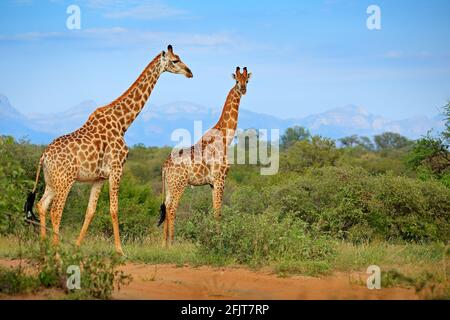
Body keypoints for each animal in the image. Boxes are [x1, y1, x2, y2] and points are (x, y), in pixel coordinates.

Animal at [24, 45, 193, 255]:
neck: (122, 123)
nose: (190, 72)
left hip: (51, 181)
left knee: (41, 205)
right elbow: (114, 209)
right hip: (65, 180)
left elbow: (90, 211)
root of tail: (43, 156)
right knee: (56, 210)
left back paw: (44, 247)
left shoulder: (99, 178)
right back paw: (56, 250)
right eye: (175, 60)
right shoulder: (116, 168)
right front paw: (120, 251)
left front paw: (77, 247)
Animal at [158, 65, 251, 245]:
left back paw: (164, 244)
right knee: (172, 208)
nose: (243, 89)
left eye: (247, 80)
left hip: (169, 185)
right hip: (179, 184)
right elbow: (218, 212)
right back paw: (172, 243)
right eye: (237, 80)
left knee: (166, 206)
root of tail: (165, 166)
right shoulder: (220, 179)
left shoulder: (212, 183)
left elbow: (215, 211)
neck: (225, 138)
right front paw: (219, 240)